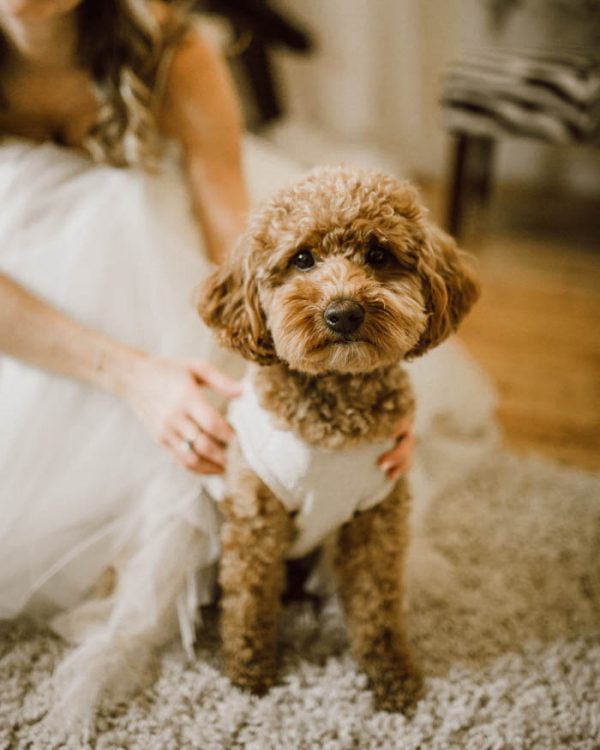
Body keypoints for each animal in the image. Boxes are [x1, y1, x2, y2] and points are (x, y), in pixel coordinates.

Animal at [199, 164, 480, 712]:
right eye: (301, 259)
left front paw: (393, 678)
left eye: (378, 255)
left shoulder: (377, 519)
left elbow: (377, 607)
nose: (344, 312)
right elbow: (248, 601)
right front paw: (249, 673)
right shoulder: (256, 520)